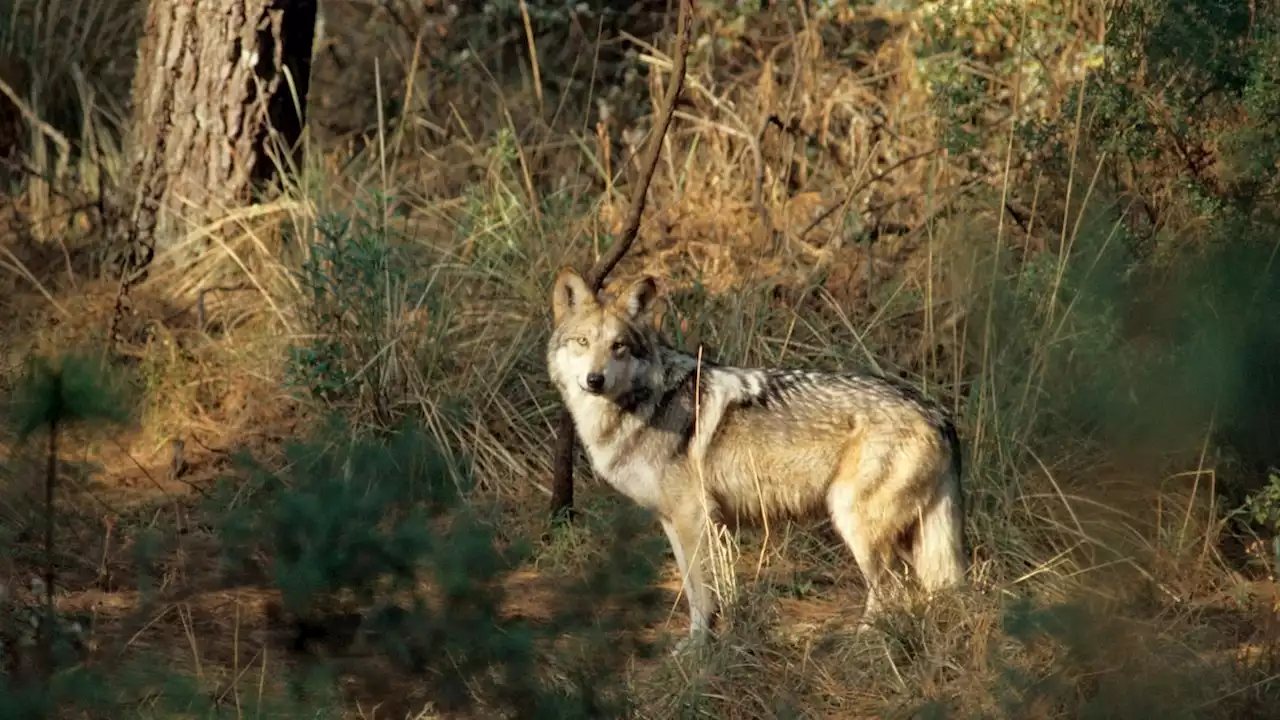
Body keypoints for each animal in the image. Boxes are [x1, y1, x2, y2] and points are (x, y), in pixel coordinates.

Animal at [545, 266, 962, 648]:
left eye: (619, 346)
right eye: (582, 342)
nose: (595, 380)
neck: (644, 403)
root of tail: (936, 413)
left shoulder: (693, 518)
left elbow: (701, 593)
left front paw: (698, 649)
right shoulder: (675, 521)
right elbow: (697, 589)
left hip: (855, 523)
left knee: (894, 591)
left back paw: (862, 643)